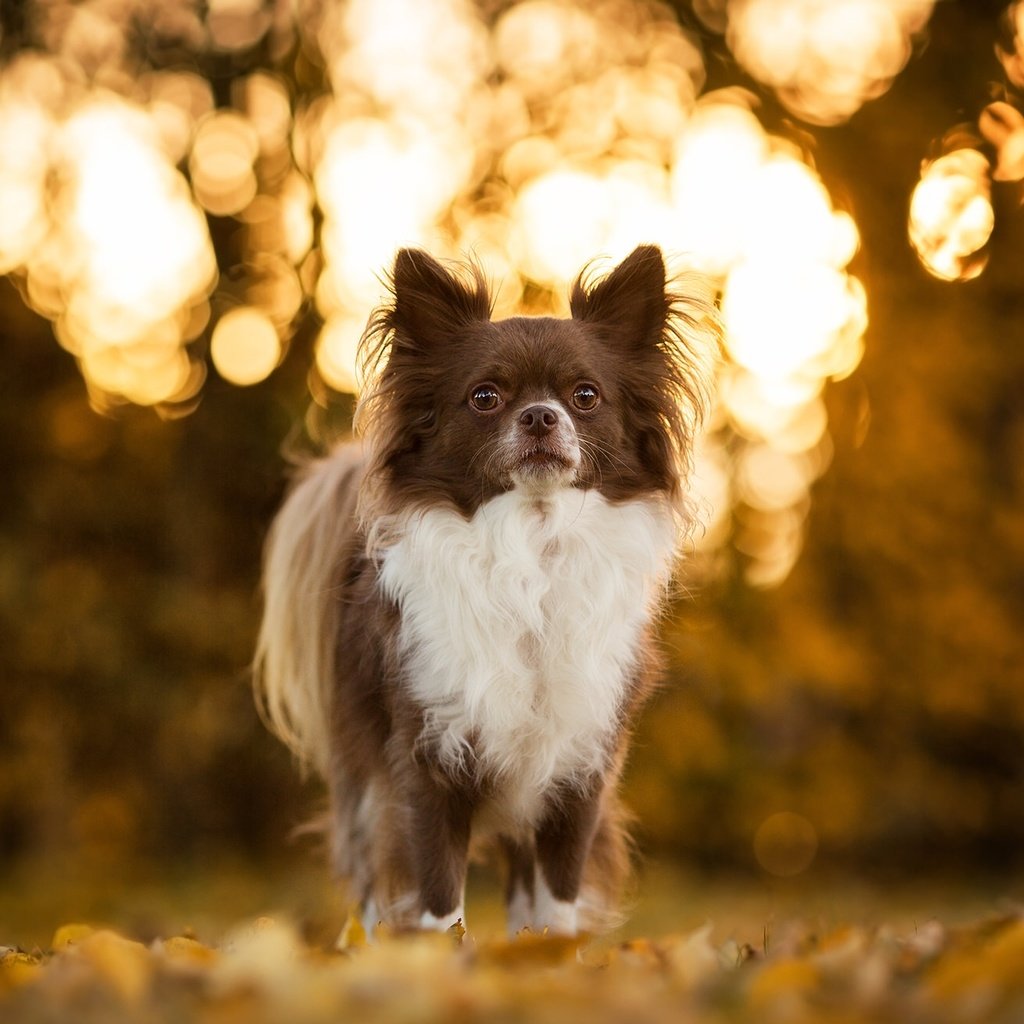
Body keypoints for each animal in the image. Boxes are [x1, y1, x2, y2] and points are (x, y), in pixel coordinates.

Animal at [252, 243, 716, 937]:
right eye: (485, 396)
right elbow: (439, 902)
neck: (532, 545)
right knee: (371, 878)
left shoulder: (577, 772)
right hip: (365, 781)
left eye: (586, 396)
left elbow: (558, 902)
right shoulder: (425, 766)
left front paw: (548, 956)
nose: (541, 415)